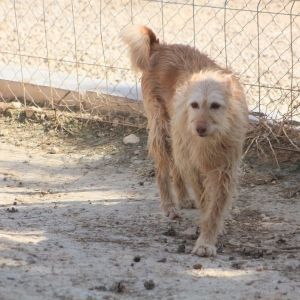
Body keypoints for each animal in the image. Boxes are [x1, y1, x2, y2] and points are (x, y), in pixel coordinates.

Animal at [121, 25, 248, 256]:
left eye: (215, 106)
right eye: (194, 105)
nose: (199, 128)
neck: (209, 140)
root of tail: (160, 47)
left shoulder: (225, 170)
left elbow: (216, 206)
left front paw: (208, 237)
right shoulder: (195, 167)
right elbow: (205, 201)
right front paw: (205, 237)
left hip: (176, 138)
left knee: (177, 165)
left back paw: (183, 197)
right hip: (162, 130)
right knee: (163, 169)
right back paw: (169, 205)